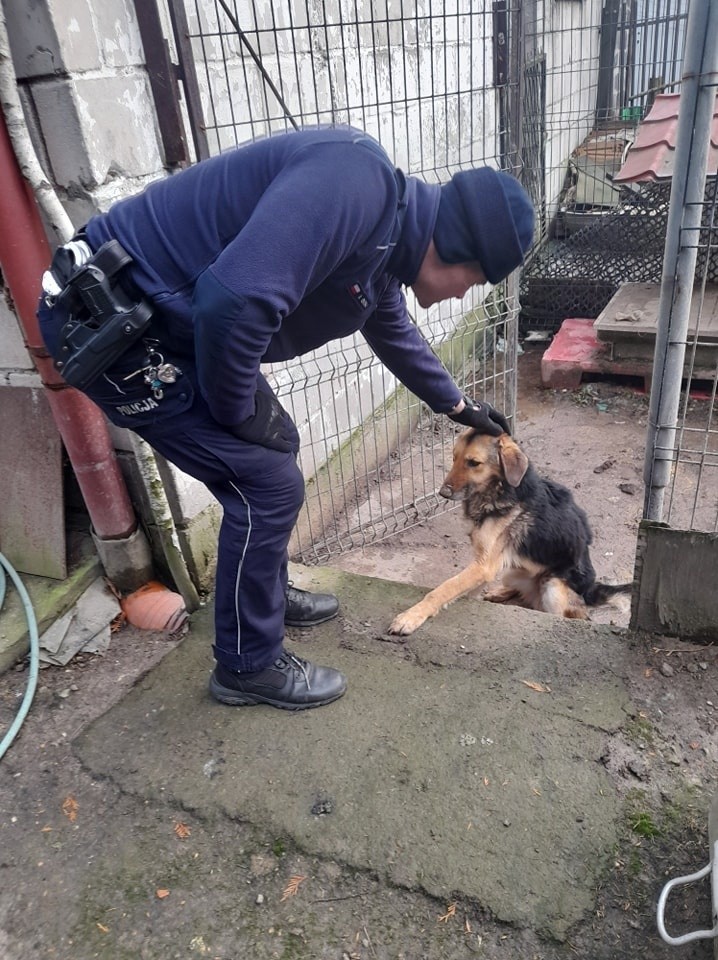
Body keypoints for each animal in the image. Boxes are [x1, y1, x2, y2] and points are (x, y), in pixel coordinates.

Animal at [390, 430, 632, 636]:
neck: (498, 491)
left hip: (553, 586)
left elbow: (444, 588)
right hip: (513, 570)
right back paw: (500, 592)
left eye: (473, 463)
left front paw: (411, 616)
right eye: (454, 458)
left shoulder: (483, 565)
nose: (443, 493)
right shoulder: (483, 564)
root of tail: (592, 590)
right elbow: (464, 590)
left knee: (575, 616)